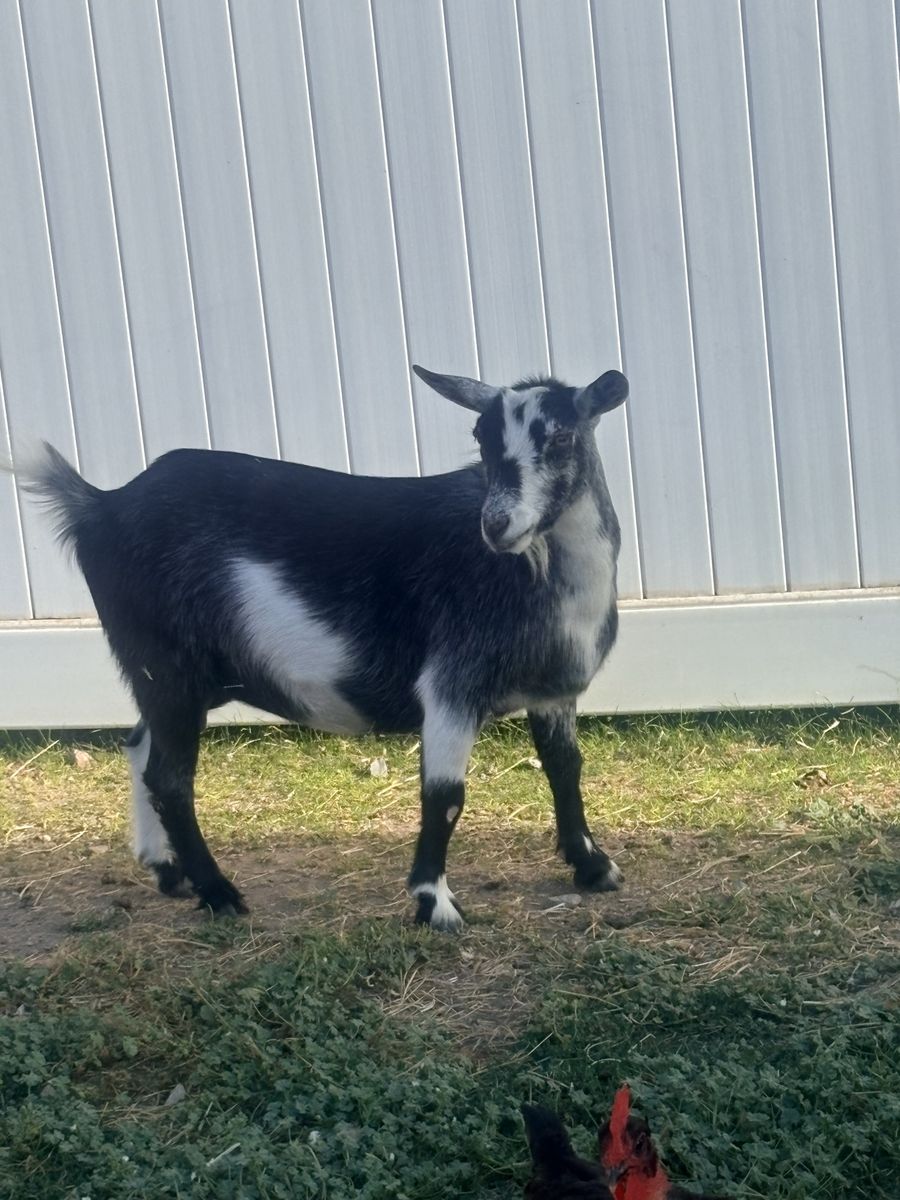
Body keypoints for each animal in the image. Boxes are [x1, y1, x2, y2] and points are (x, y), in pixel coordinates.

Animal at [25, 364, 628, 926]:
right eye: (481, 436)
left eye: (562, 437)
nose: (497, 525)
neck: (539, 575)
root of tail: (99, 507)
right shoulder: (451, 685)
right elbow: (445, 797)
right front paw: (434, 904)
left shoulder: (553, 693)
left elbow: (565, 768)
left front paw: (594, 867)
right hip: (164, 666)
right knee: (169, 780)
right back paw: (219, 893)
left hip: (174, 680)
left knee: (138, 746)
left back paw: (168, 871)